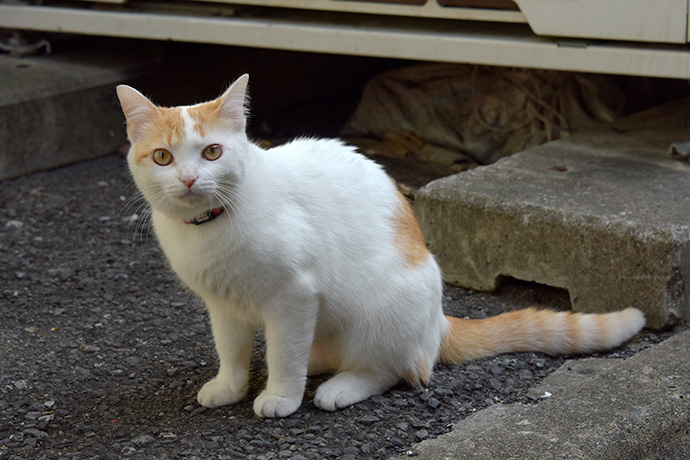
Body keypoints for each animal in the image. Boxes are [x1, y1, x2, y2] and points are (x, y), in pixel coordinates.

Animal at [114, 76, 644, 420]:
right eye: (162, 157)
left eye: (212, 152)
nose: (188, 179)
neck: (212, 226)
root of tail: (437, 323)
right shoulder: (223, 305)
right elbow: (231, 350)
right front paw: (230, 386)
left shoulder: (294, 298)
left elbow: (284, 355)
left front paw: (280, 396)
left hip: (380, 315)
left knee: (395, 370)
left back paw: (339, 387)